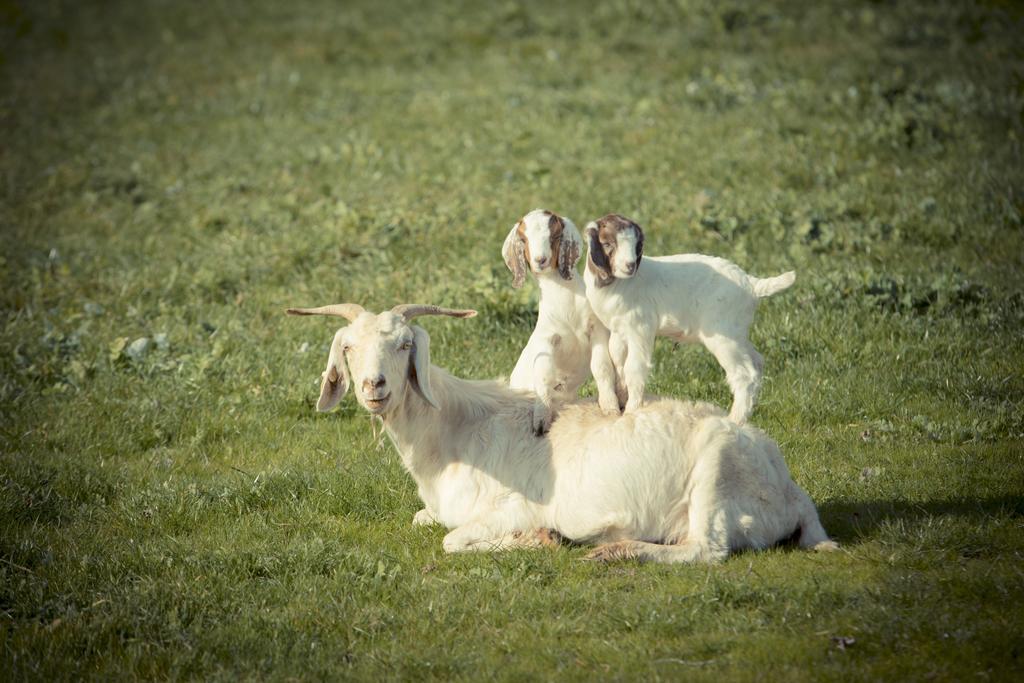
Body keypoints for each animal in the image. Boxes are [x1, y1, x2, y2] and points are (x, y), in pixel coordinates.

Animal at [284, 301, 835, 565]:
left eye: (403, 345)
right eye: (348, 348)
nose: (374, 386)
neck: (452, 436)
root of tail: (791, 489)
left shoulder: (512, 506)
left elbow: (453, 541)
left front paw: (542, 540)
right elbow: (427, 522)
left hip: (715, 475)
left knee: (708, 549)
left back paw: (617, 551)